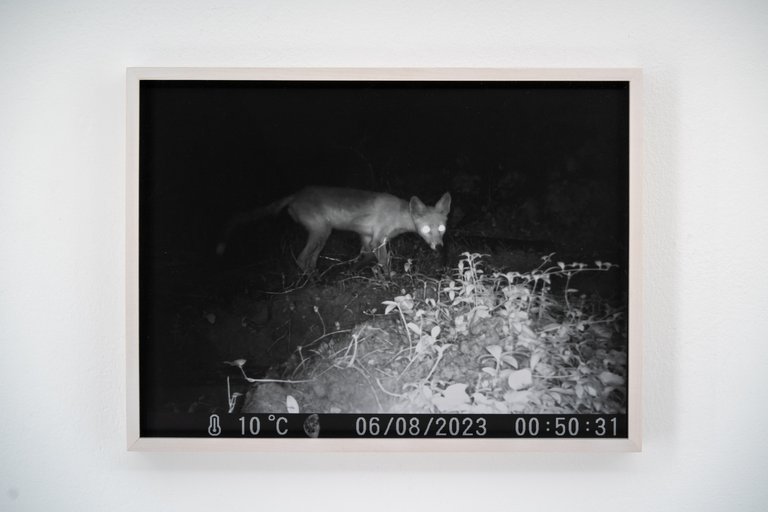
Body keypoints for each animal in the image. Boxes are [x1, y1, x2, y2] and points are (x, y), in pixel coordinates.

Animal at [216, 186, 451, 273]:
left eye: (441, 228)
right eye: (426, 229)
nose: (439, 247)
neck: (398, 215)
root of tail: (296, 194)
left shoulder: (367, 237)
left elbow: (365, 258)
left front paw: (354, 272)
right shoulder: (378, 239)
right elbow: (384, 262)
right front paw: (389, 280)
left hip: (321, 236)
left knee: (309, 261)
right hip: (321, 232)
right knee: (301, 259)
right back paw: (313, 283)